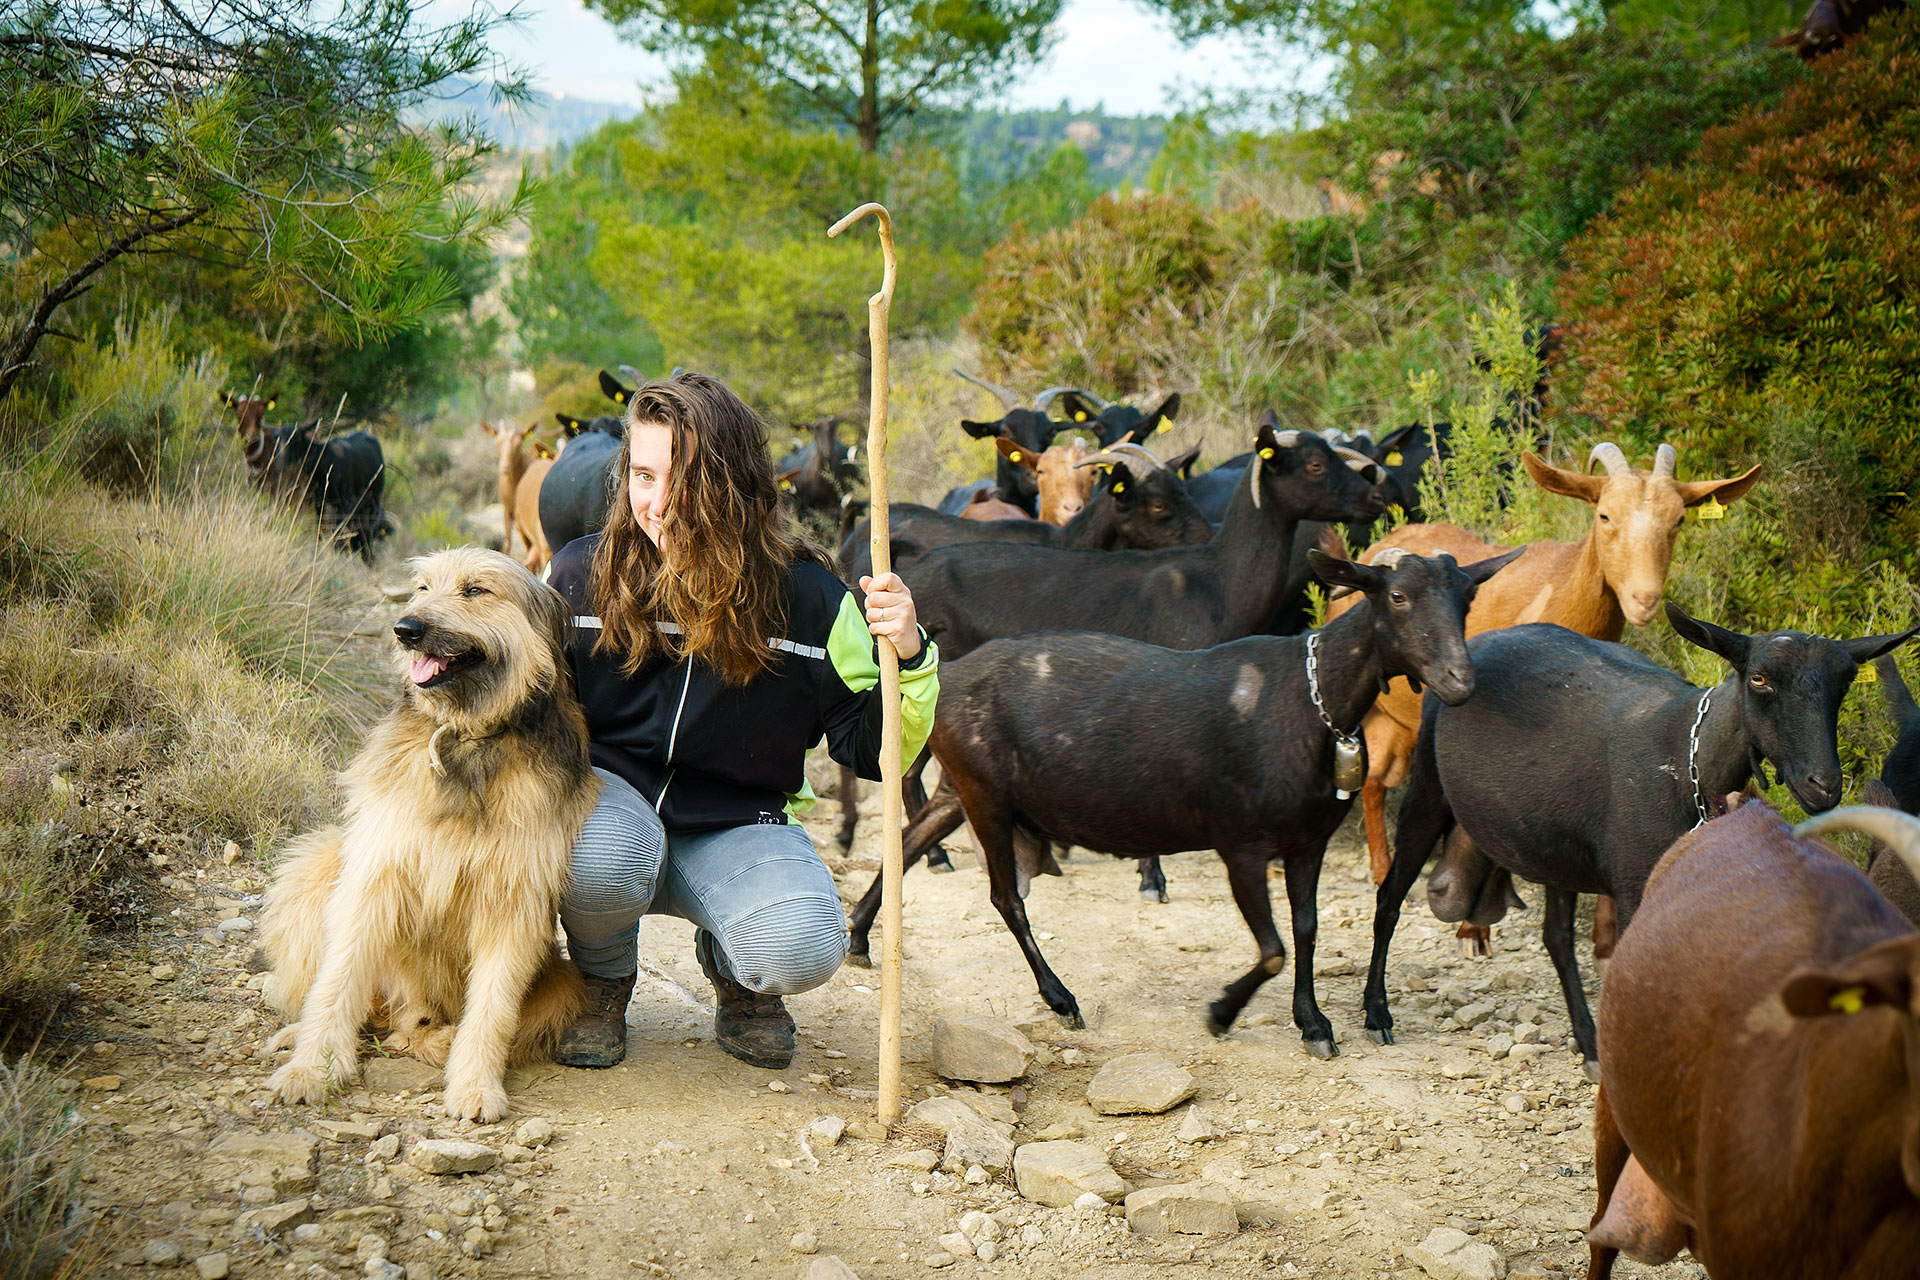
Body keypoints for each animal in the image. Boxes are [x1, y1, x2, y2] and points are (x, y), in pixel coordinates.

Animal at [259, 548, 595, 1120]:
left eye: (475, 590)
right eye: (421, 587)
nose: (405, 630)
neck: (467, 738)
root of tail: (405, 1012)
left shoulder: (514, 901)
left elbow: (493, 1009)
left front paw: (476, 1086)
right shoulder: (376, 873)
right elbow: (337, 979)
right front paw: (311, 1068)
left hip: (562, 985)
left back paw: (432, 1038)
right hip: (316, 869)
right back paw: (300, 1034)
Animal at [864, 552, 1520, 1051]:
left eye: (1467, 597)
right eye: (1398, 596)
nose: (1461, 681)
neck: (1310, 702)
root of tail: (948, 679)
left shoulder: (1307, 841)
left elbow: (1305, 931)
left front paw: (1313, 1023)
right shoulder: (1240, 842)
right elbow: (1274, 949)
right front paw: (1221, 1014)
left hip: (959, 786)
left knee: (911, 840)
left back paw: (861, 938)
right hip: (986, 794)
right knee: (1006, 898)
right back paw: (1061, 998)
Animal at [1336, 441, 1758, 951]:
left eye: (1678, 519)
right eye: (1604, 515)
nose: (1644, 600)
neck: (1558, 594)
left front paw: (1605, 939)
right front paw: (1472, 928)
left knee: (1379, 779)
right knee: (1373, 781)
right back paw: (1386, 875)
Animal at [1367, 606, 1920, 1074]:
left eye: (1845, 683)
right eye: (1758, 678)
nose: (1822, 785)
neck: (1686, 757)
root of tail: (1489, 637)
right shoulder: (1635, 885)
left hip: (1553, 839)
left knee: (1556, 936)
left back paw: (1590, 1044)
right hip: (1429, 784)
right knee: (1390, 897)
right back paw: (1374, 1016)